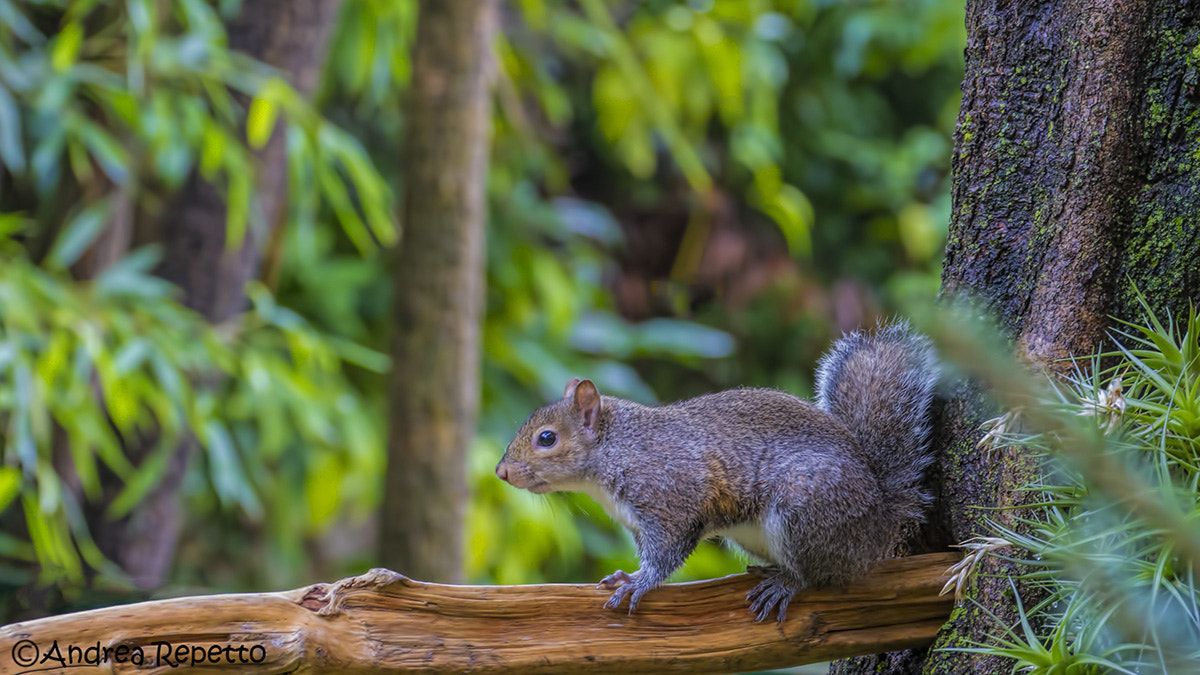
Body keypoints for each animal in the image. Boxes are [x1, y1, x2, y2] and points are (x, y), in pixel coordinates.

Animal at [495, 320, 939, 622]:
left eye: (547, 438)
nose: (501, 473)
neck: (618, 450)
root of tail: (878, 518)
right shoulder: (638, 523)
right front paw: (627, 575)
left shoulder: (672, 502)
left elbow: (667, 553)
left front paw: (639, 582)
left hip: (807, 510)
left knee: (821, 575)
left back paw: (787, 583)